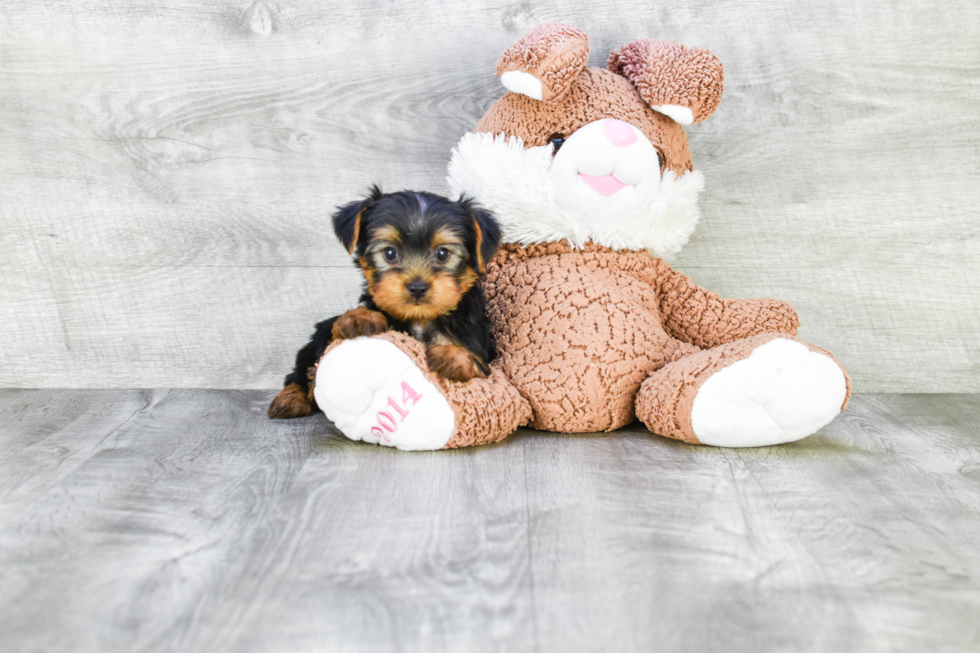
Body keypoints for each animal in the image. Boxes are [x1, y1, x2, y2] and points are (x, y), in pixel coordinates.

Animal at [268, 185, 502, 418]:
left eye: (443, 253)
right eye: (389, 253)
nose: (417, 287)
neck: (420, 319)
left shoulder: (480, 350)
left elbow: (474, 363)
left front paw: (452, 356)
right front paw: (358, 318)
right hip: (315, 341)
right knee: (301, 369)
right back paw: (290, 398)